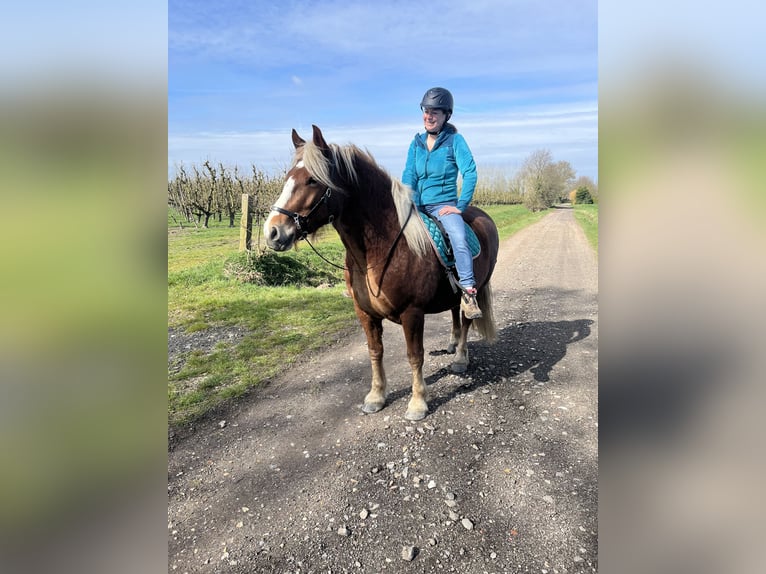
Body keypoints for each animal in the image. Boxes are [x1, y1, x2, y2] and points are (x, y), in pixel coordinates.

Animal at [264, 125, 499, 420]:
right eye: (288, 177)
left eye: (312, 181)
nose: (272, 232)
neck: (378, 250)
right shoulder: (364, 313)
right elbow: (375, 352)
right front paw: (376, 396)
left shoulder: (412, 313)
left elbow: (414, 355)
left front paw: (417, 403)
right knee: (456, 312)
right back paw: (452, 344)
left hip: (475, 287)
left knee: (466, 319)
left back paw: (460, 358)